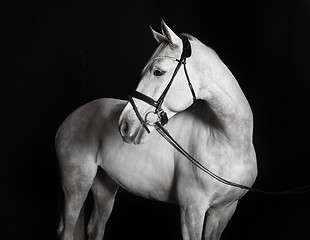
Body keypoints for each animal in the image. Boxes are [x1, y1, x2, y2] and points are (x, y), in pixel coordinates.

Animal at [56, 20, 256, 240]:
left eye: (158, 71)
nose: (125, 124)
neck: (227, 143)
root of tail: (72, 116)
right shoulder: (191, 210)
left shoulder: (223, 210)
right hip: (76, 185)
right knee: (67, 231)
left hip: (105, 186)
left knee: (95, 228)